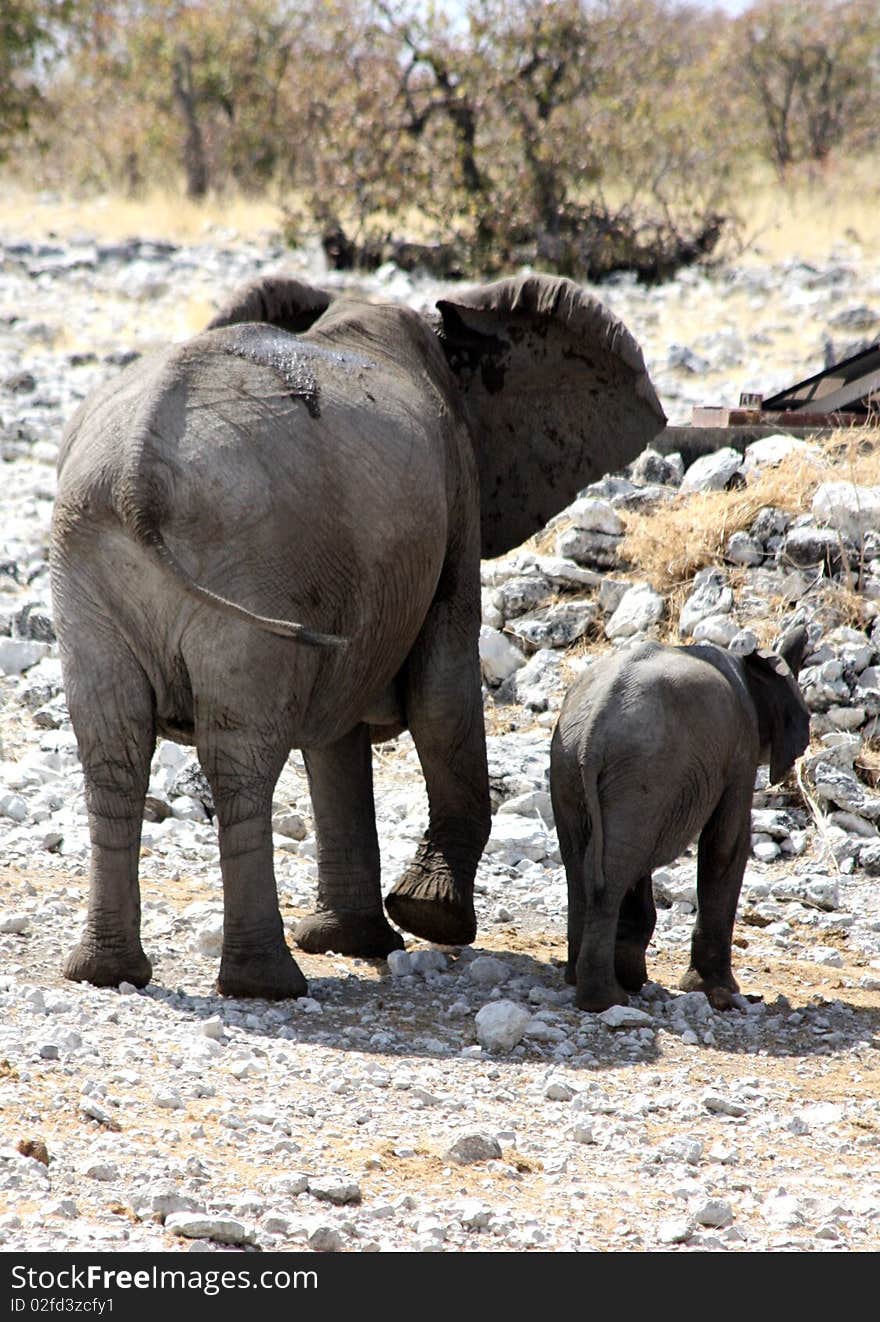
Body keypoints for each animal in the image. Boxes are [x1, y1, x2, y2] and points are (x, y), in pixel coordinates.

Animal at [51, 273, 660, 994]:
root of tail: (136, 473)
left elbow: (338, 733)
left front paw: (355, 939)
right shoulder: (455, 491)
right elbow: (442, 691)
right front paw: (430, 920)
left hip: (93, 563)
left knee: (114, 752)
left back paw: (106, 972)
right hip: (251, 561)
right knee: (239, 755)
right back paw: (266, 984)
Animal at [549, 629, 808, 1010]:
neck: (744, 661)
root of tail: (592, 733)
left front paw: (637, 976)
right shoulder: (740, 749)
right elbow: (727, 844)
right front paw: (719, 991)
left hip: (570, 767)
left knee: (589, 863)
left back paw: (586, 982)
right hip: (644, 770)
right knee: (611, 873)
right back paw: (606, 999)